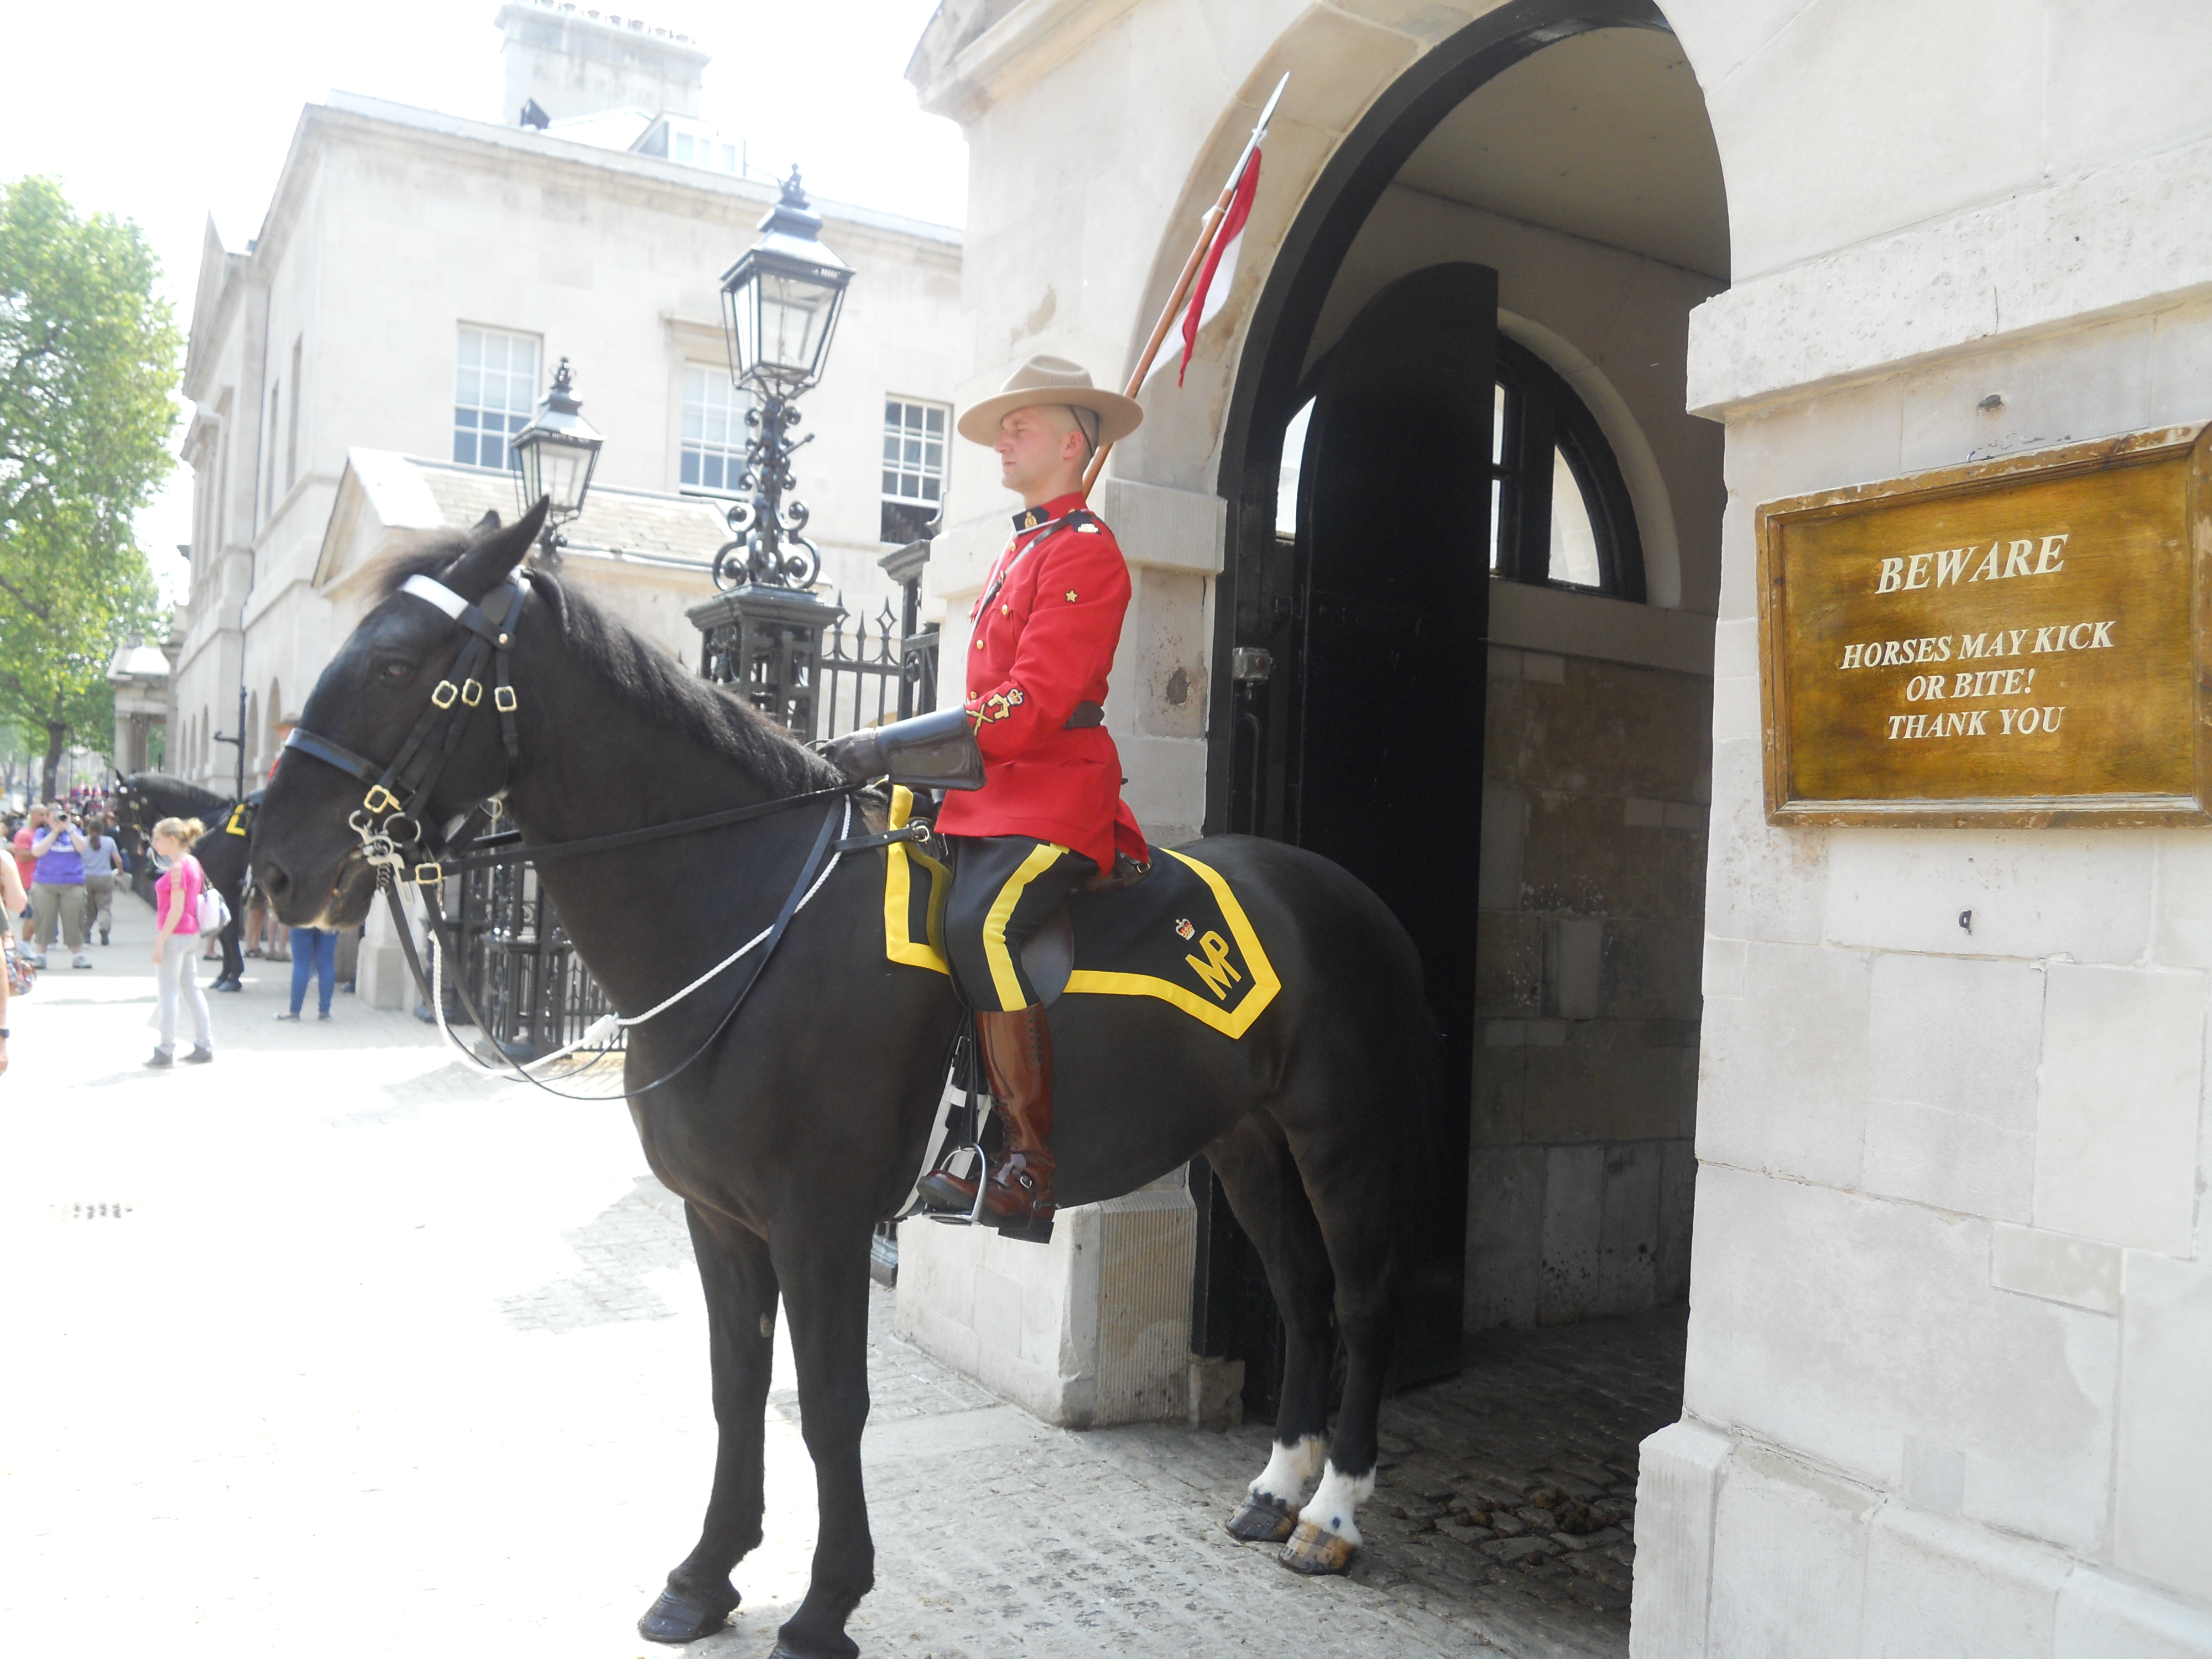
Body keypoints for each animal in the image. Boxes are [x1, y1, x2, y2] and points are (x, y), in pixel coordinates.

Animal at [113, 773, 253, 989]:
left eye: (120, 807)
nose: (128, 846)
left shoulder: (228, 890)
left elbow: (229, 933)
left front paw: (233, 976)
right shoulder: (218, 892)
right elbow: (223, 932)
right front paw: (225, 975)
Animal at [249, 504, 1441, 1659]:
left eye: (395, 662)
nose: (274, 867)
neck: (746, 914)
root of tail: (1341, 890)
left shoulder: (816, 1220)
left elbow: (828, 1403)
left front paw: (826, 1603)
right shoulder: (719, 1217)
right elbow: (736, 1388)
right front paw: (704, 1578)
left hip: (1341, 1134)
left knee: (1363, 1298)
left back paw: (1333, 1514)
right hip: (1245, 1142)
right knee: (1300, 1296)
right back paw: (1275, 1491)